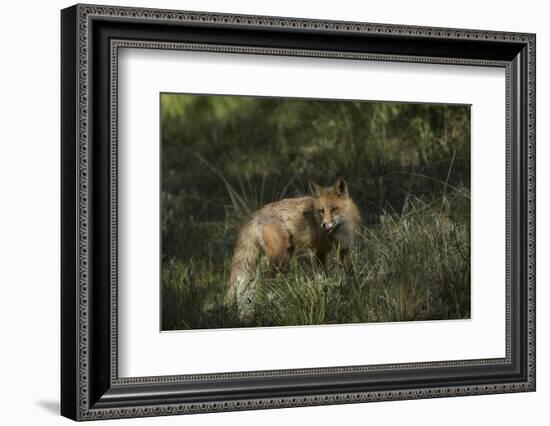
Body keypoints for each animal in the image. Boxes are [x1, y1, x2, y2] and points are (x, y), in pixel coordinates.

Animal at [225, 177, 362, 316]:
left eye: (334, 209)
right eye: (321, 211)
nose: (324, 225)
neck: (338, 231)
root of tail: (257, 213)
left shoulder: (344, 248)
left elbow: (350, 273)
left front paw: (355, 291)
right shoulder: (319, 252)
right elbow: (324, 280)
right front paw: (326, 297)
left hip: (280, 258)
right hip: (279, 258)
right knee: (263, 283)